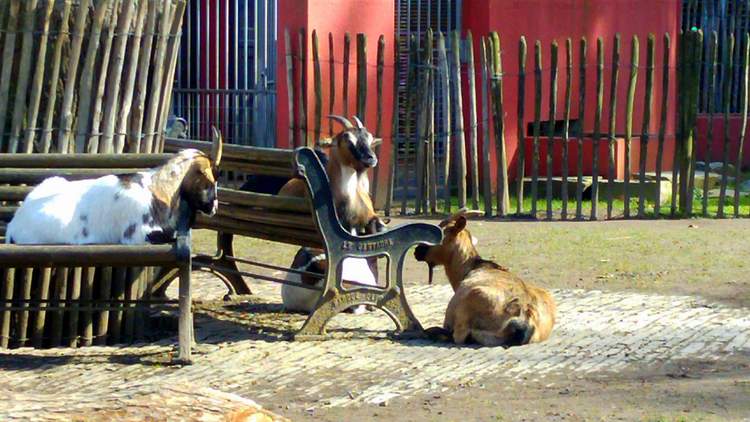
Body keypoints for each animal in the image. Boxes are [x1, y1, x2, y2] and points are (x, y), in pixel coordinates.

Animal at [414, 210, 556, 346]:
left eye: (439, 235)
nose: (417, 250)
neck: (472, 267)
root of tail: (526, 317)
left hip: (471, 303)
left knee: (456, 337)